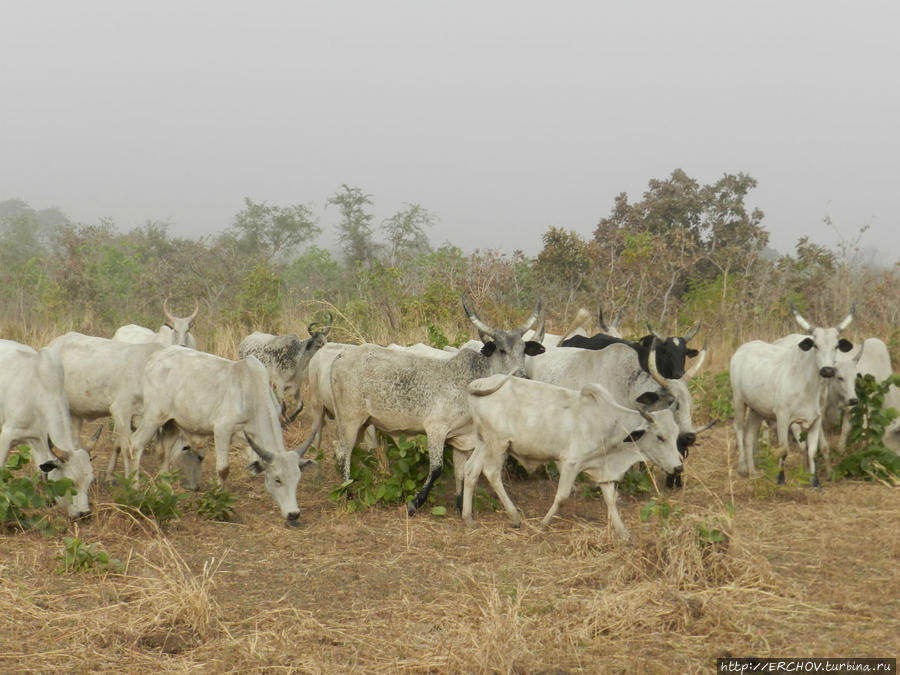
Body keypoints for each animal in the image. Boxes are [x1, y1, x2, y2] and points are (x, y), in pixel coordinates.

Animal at [0, 340, 98, 520]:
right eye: (71, 483)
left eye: (91, 482)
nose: (84, 514)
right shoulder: (7, 436)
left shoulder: (38, 440)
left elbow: (43, 472)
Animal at [128, 346, 314, 524]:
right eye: (277, 480)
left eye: (297, 479)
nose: (293, 514)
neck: (252, 393)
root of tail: (154, 358)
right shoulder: (222, 430)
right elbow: (223, 469)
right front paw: (217, 500)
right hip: (153, 417)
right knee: (135, 444)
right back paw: (134, 490)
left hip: (172, 423)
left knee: (163, 454)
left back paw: (169, 492)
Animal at [464, 372, 684, 540]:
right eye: (660, 436)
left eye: (675, 434)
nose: (678, 467)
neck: (609, 424)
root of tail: (481, 383)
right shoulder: (570, 463)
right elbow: (562, 496)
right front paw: (543, 524)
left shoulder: (602, 470)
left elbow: (611, 500)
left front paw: (623, 533)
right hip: (498, 444)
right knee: (491, 473)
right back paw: (514, 517)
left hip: (483, 443)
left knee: (470, 471)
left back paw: (468, 517)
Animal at [728, 304, 856, 486]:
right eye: (815, 345)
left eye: (836, 346)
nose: (827, 370)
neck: (808, 386)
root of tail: (743, 348)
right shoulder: (782, 417)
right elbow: (784, 449)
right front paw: (780, 479)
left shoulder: (816, 419)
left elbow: (812, 450)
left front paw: (815, 481)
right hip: (738, 399)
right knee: (738, 429)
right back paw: (742, 467)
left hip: (756, 409)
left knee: (749, 436)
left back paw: (753, 471)